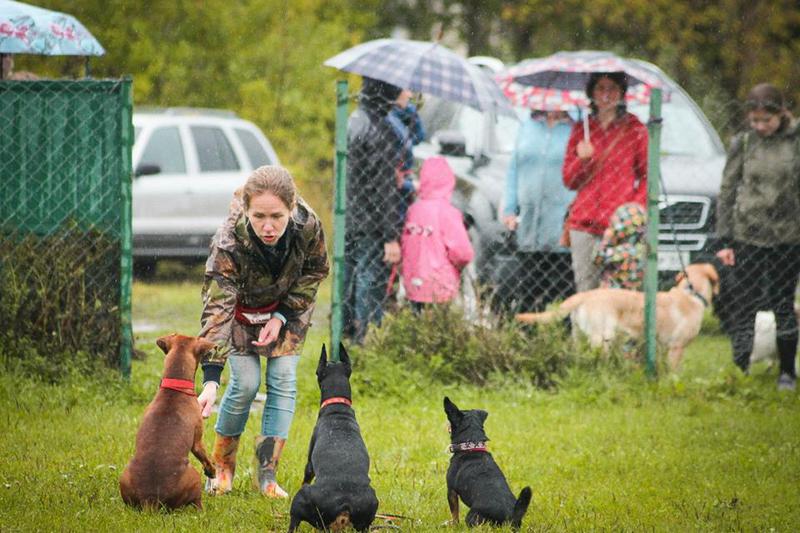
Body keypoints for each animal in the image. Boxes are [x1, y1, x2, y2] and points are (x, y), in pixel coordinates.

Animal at [116, 334, 214, 510]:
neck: (174, 388)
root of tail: (150, 499)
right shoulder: (197, 442)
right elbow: (205, 458)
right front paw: (212, 471)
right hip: (194, 477)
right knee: (197, 503)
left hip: (124, 477)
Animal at [290, 342, 380, 528]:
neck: (338, 406)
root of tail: (345, 505)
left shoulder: (309, 463)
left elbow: (306, 474)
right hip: (367, 515)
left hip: (301, 501)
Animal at [444, 394, 532, 528]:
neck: (471, 445)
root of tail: (511, 517)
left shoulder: (451, 491)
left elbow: (455, 514)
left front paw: (453, 526)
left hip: (472, 516)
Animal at [520, 262, 720, 370]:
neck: (691, 294)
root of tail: (585, 295)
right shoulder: (676, 348)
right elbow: (674, 373)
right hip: (603, 339)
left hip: (578, 336)